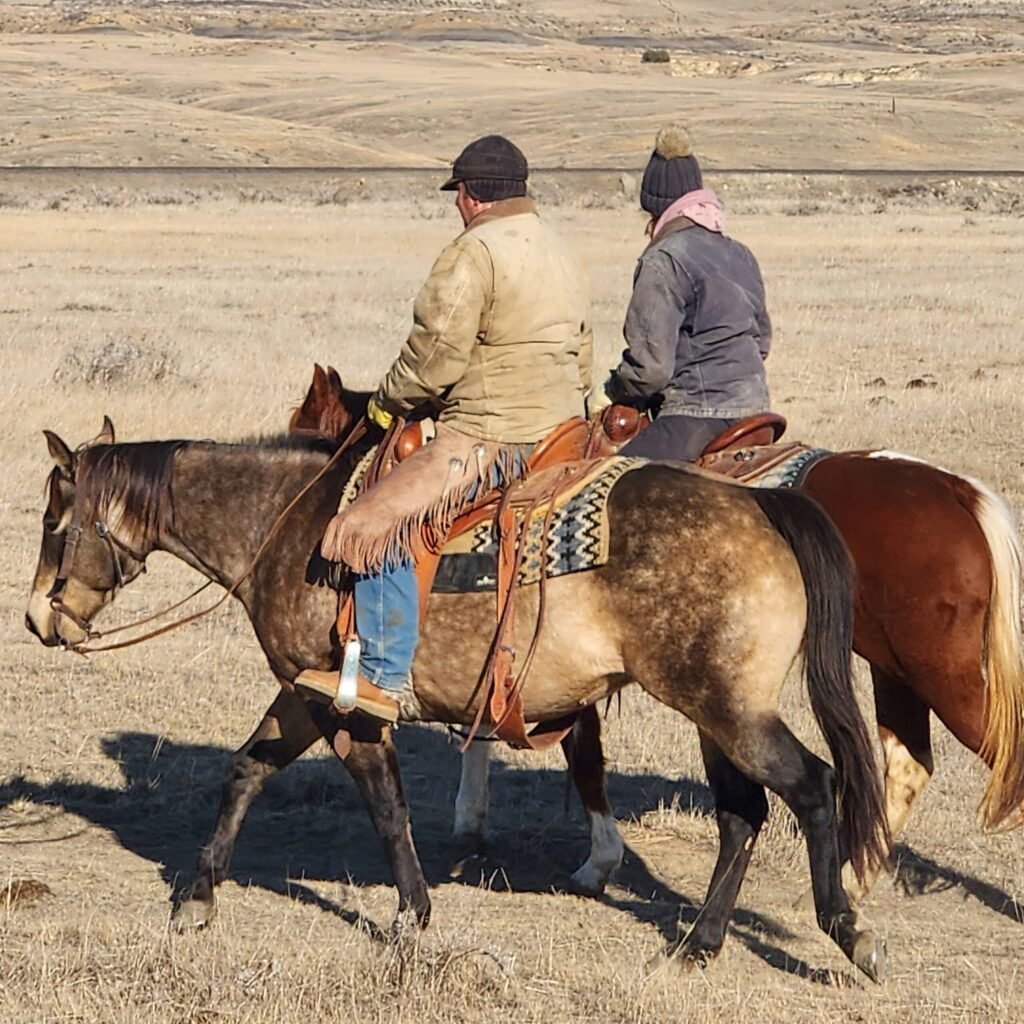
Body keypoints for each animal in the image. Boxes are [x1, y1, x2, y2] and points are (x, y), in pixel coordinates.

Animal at [26, 415, 889, 981]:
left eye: (53, 522)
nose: (37, 618)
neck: (286, 524)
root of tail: (760, 503)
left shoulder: (341, 702)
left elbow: (380, 803)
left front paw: (409, 916)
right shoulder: (307, 693)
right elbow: (250, 773)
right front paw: (200, 898)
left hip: (729, 710)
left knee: (812, 786)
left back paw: (849, 933)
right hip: (720, 712)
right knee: (743, 813)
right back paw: (700, 944)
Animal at [291, 366, 1024, 901]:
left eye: (307, 427)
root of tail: (959, 491)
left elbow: (581, 754)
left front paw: (595, 863)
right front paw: (475, 820)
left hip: (943, 672)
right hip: (895, 668)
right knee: (907, 763)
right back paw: (852, 879)